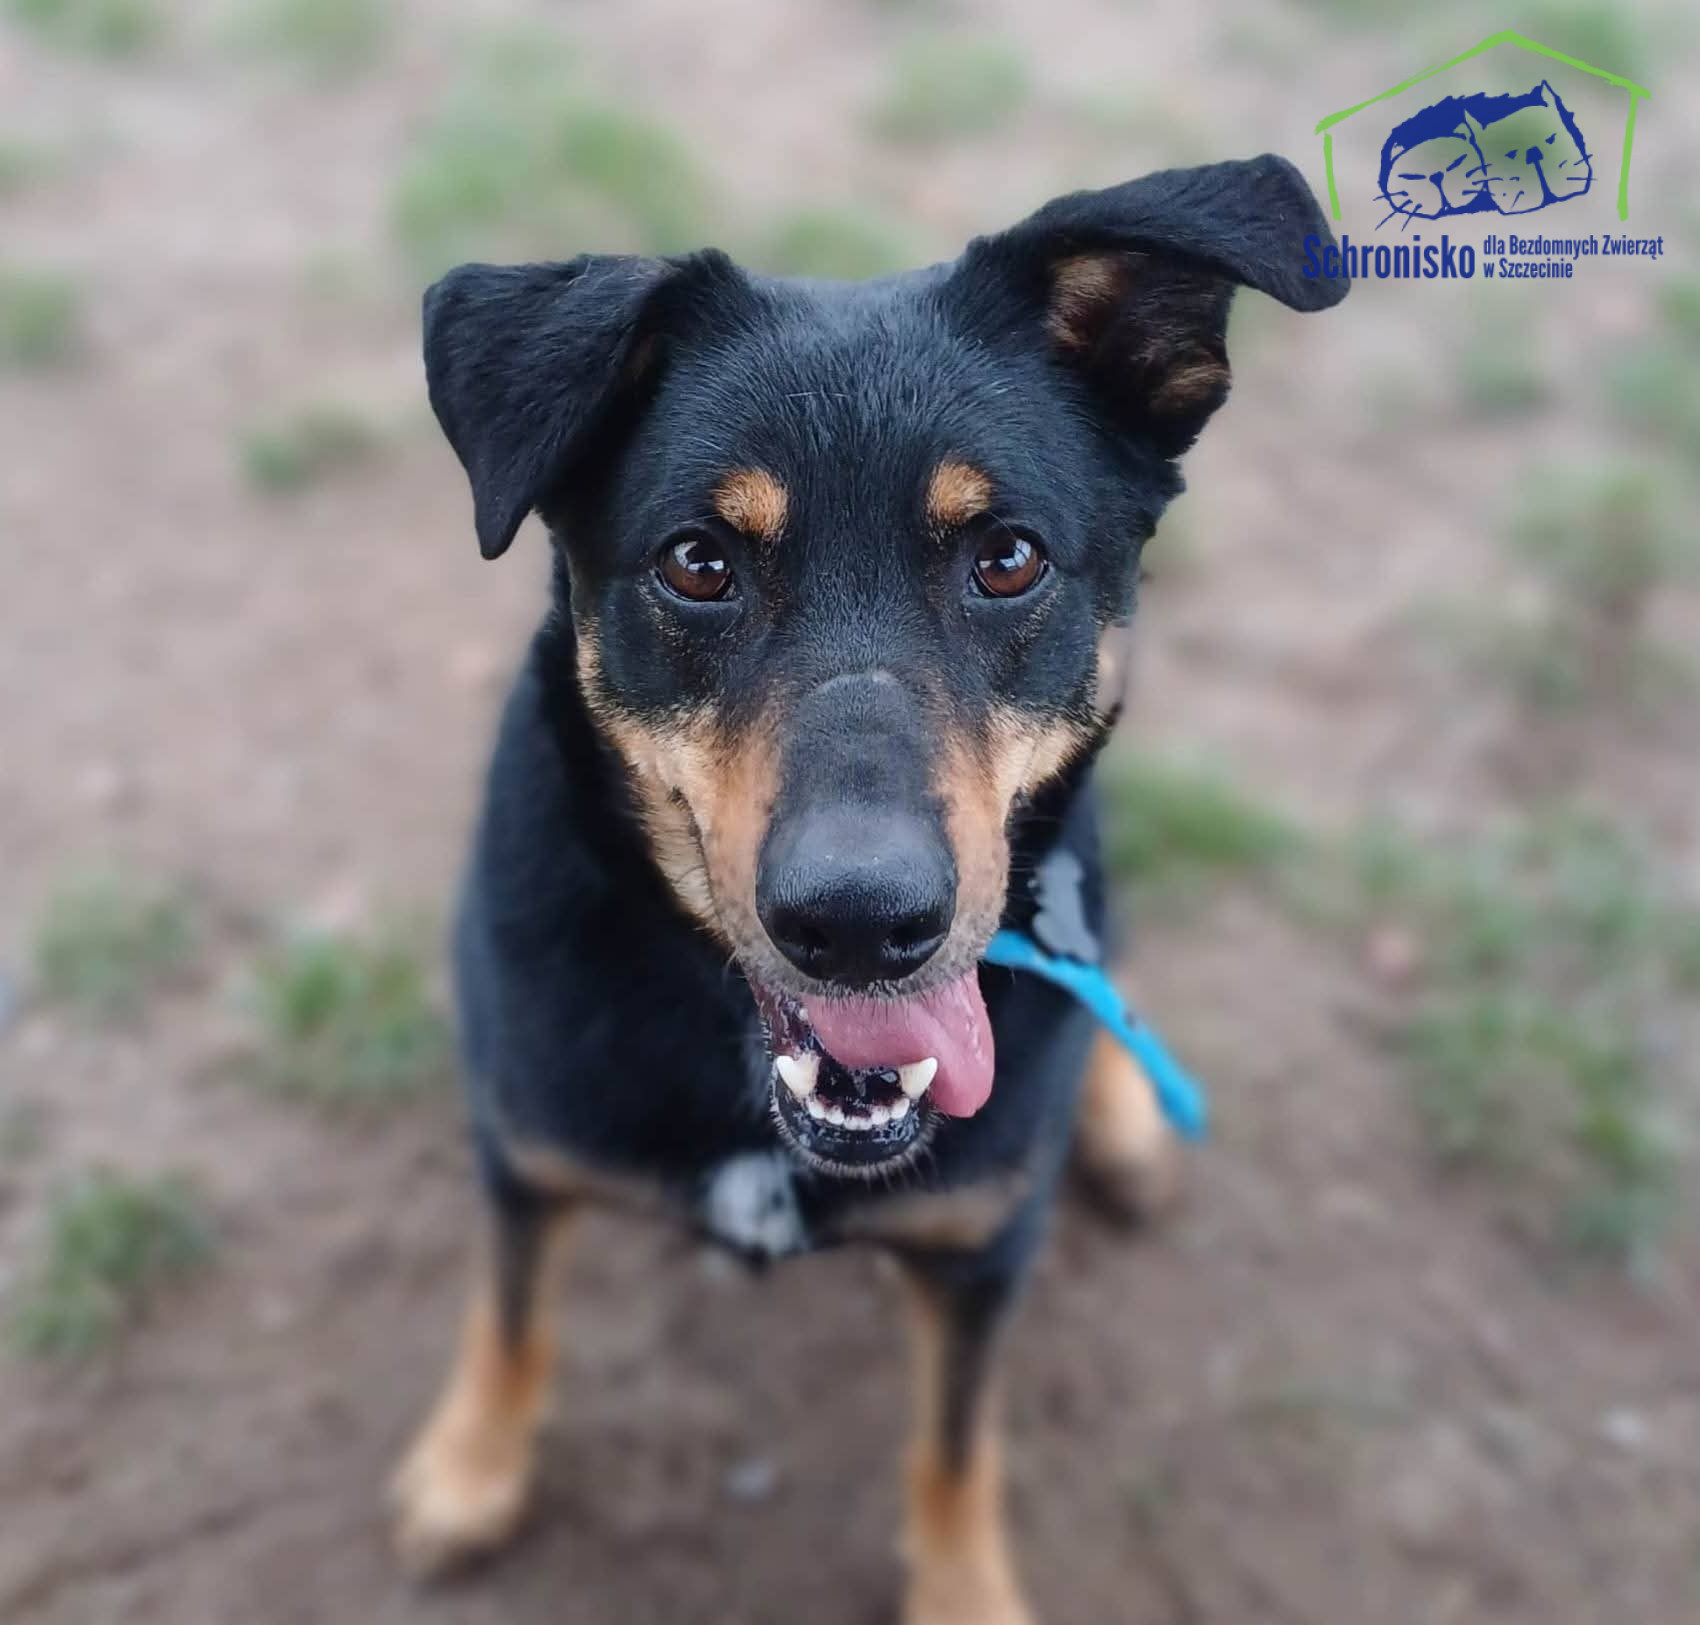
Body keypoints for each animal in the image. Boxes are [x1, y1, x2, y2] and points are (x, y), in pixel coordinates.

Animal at [390, 155, 1347, 1623]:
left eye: (1006, 556)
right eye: (698, 562)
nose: (857, 922)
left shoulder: (977, 1255)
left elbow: (954, 1450)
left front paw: (964, 1595)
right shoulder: (523, 1144)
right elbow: (509, 1317)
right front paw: (468, 1472)